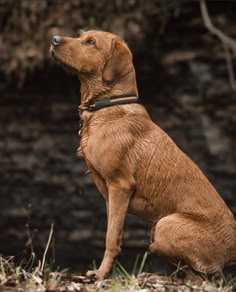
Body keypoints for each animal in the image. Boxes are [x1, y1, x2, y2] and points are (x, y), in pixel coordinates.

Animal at [49, 30, 236, 278]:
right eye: (81, 35)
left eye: (91, 42)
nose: (54, 39)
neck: (107, 107)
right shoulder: (110, 196)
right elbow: (114, 232)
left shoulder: (120, 185)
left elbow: (110, 238)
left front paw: (101, 274)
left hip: (165, 225)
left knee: (204, 276)